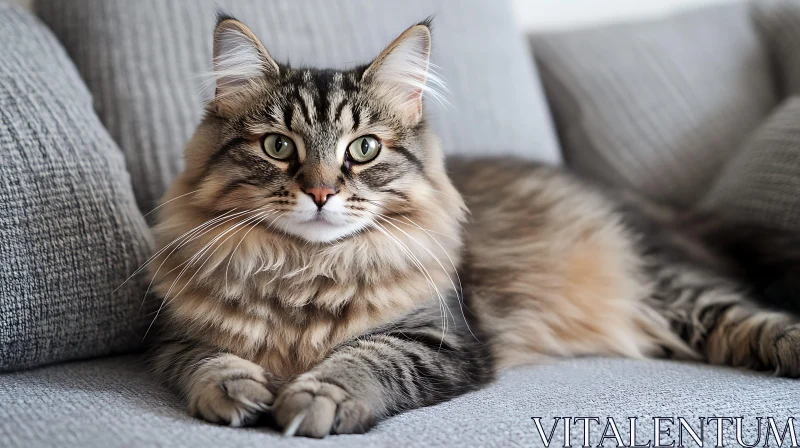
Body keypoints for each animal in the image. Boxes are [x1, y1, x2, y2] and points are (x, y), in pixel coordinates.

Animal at [148, 14, 800, 438]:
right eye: (279, 146)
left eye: (363, 149)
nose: (321, 192)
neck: (305, 269)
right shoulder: (176, 338)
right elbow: (208, 362)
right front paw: (237, 390)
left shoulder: (442, 338)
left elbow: (366, 359)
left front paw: (315, 398)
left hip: (663, 283)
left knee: (748, 317)